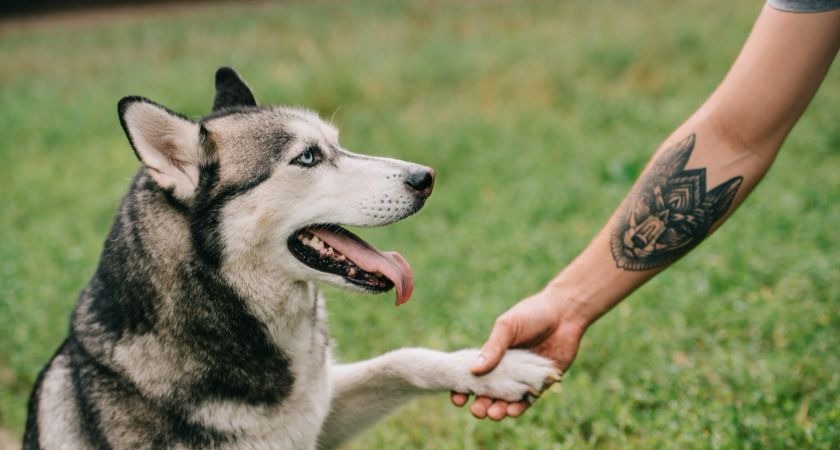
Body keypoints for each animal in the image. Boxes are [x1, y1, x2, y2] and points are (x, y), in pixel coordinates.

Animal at [24, 67, 564, 450]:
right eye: (307, 158)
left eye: (337, 144)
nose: (425, 177)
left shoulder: (317, 413)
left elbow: (401, 359)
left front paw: (493, 369)